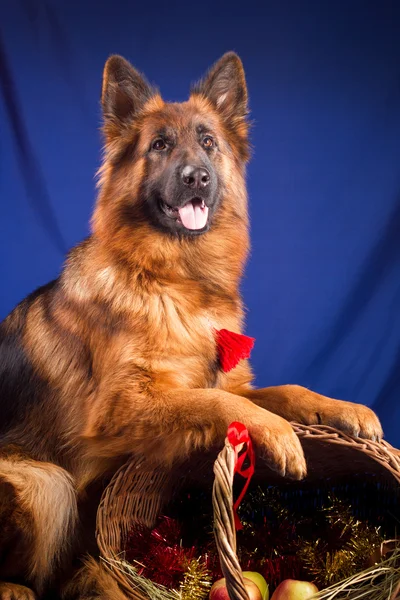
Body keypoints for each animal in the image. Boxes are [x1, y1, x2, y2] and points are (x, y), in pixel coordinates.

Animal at [0, 54, 382, 596]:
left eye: (207, 142)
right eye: (159, 145)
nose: (196, 177)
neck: (178, 280)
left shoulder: (229, 379)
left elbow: (284, 391)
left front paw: (344, 410)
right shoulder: (122, 409)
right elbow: (213, 401)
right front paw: (281, 435)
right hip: (45, 484)